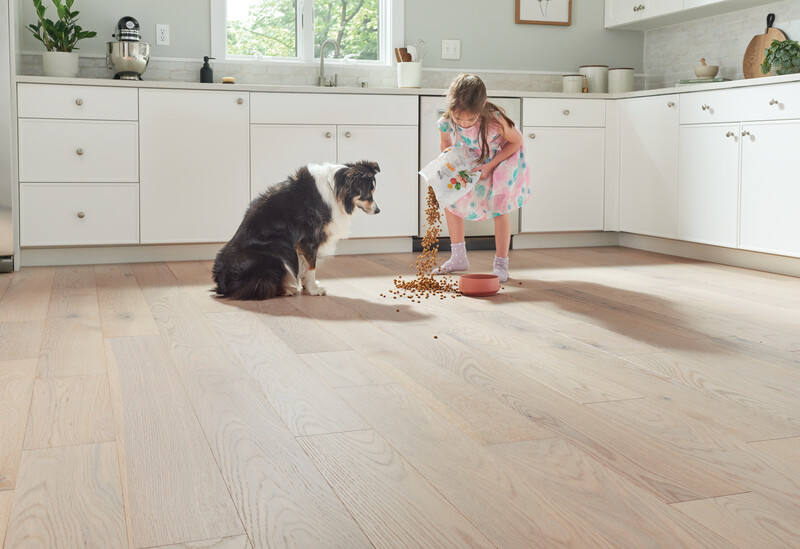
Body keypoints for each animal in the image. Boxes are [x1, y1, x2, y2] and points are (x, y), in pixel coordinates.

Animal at [212, 161, 382, 302]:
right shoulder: (309, 239)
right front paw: (314, 290)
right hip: (276, 252)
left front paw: (308, 286)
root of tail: (222, 284)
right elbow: (312, 266)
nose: (378, 211)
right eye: (369, 194)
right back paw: (286, 289)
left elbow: (305, 266)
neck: (335, 188)